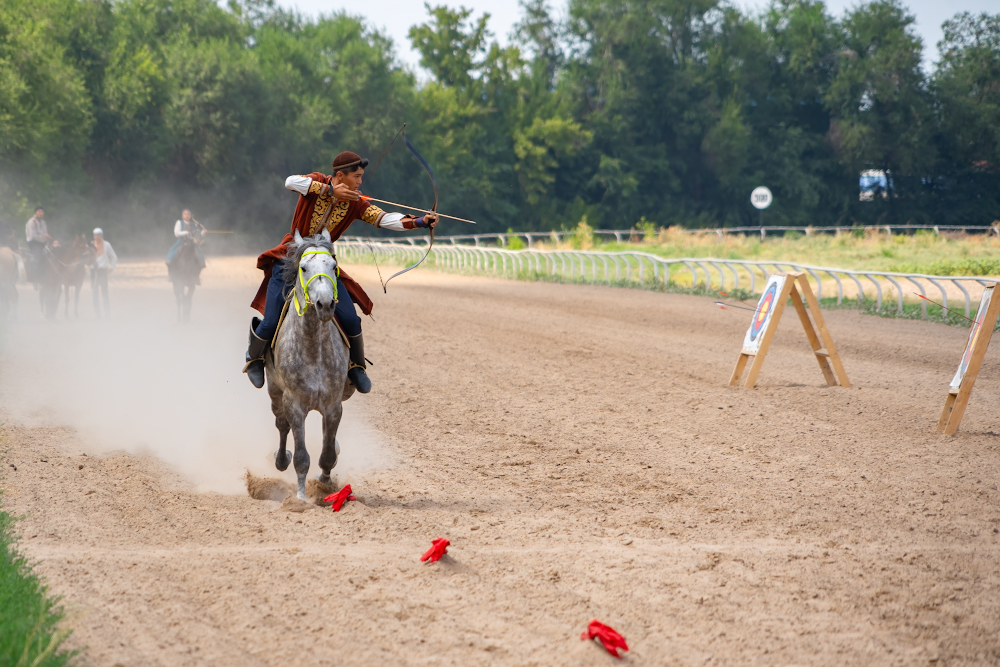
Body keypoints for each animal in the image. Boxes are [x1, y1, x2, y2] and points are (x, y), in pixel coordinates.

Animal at [266, 230, 356, 496]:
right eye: (304, 268)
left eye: (334, 266)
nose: (325, 304)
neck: (313, 350)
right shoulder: (294, 403)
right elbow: (301, 457)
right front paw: (300, 497)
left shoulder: (333, 405)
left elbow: (327, 454)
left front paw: (325, 483)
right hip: (274, 390)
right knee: (281, 424)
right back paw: (281, 459)